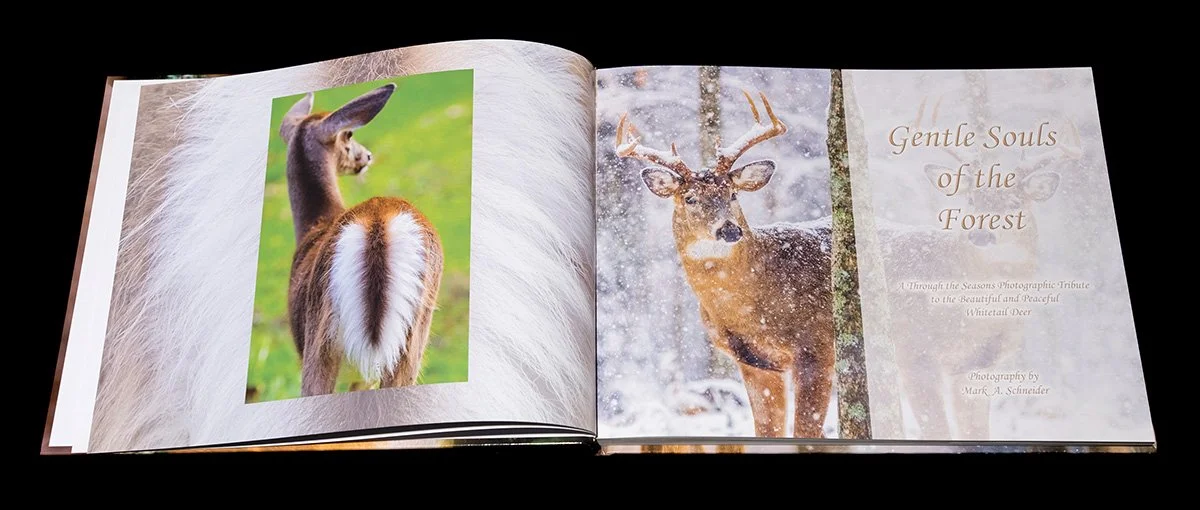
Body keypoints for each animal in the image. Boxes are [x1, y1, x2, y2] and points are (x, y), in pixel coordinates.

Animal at [615, 91, 835, 438]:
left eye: (732, 194)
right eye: (689, 198)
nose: (729, 229)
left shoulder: (817, 345)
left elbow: (805, 432)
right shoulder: (755, 363)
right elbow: (766, 430)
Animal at [884, 95, 1081, 440]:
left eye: (1015, 204)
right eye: (972, 200)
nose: (979, 234)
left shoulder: (977, 367)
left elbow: (975, 432)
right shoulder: (914, 353)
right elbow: (938, 432)